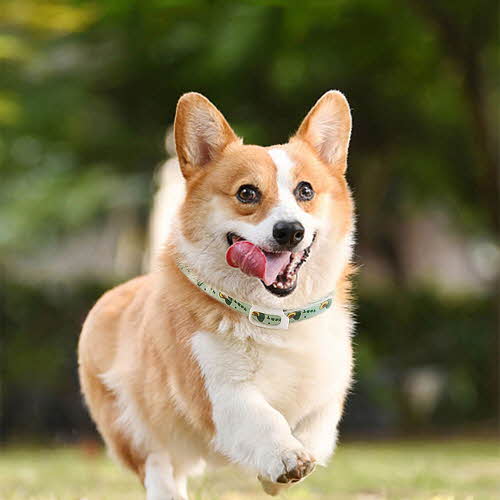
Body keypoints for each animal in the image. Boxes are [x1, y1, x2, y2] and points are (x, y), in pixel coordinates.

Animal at [78, 91, 354, 500]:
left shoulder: (327, 388)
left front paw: (279, 473)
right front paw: (285, 456)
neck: (274, 315)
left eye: (305, 191)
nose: (290, 231)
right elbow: (264, 418)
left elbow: (316, 432)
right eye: (247, 193)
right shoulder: (218, 392)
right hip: (130, 424)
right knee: (157, 464)